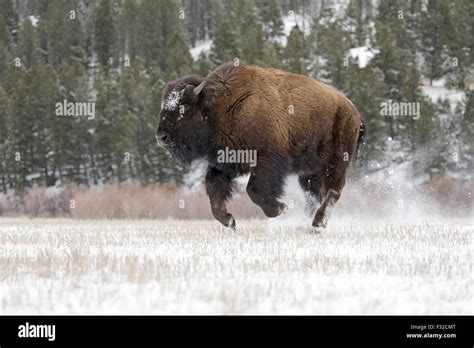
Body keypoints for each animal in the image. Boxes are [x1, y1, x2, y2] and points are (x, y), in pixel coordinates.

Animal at [157, 63, 364, 228]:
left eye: (185, 107)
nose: (161, 136)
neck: (218, 106)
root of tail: (353, 110)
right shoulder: (224, 163)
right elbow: (213, 190)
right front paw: (229, 220)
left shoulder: (266, 160)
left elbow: (253, 190)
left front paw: (281, 208)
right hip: (310, 171)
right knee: (313, 196)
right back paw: (305, 223)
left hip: (337, 162)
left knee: (333, 191)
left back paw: (318, 223)